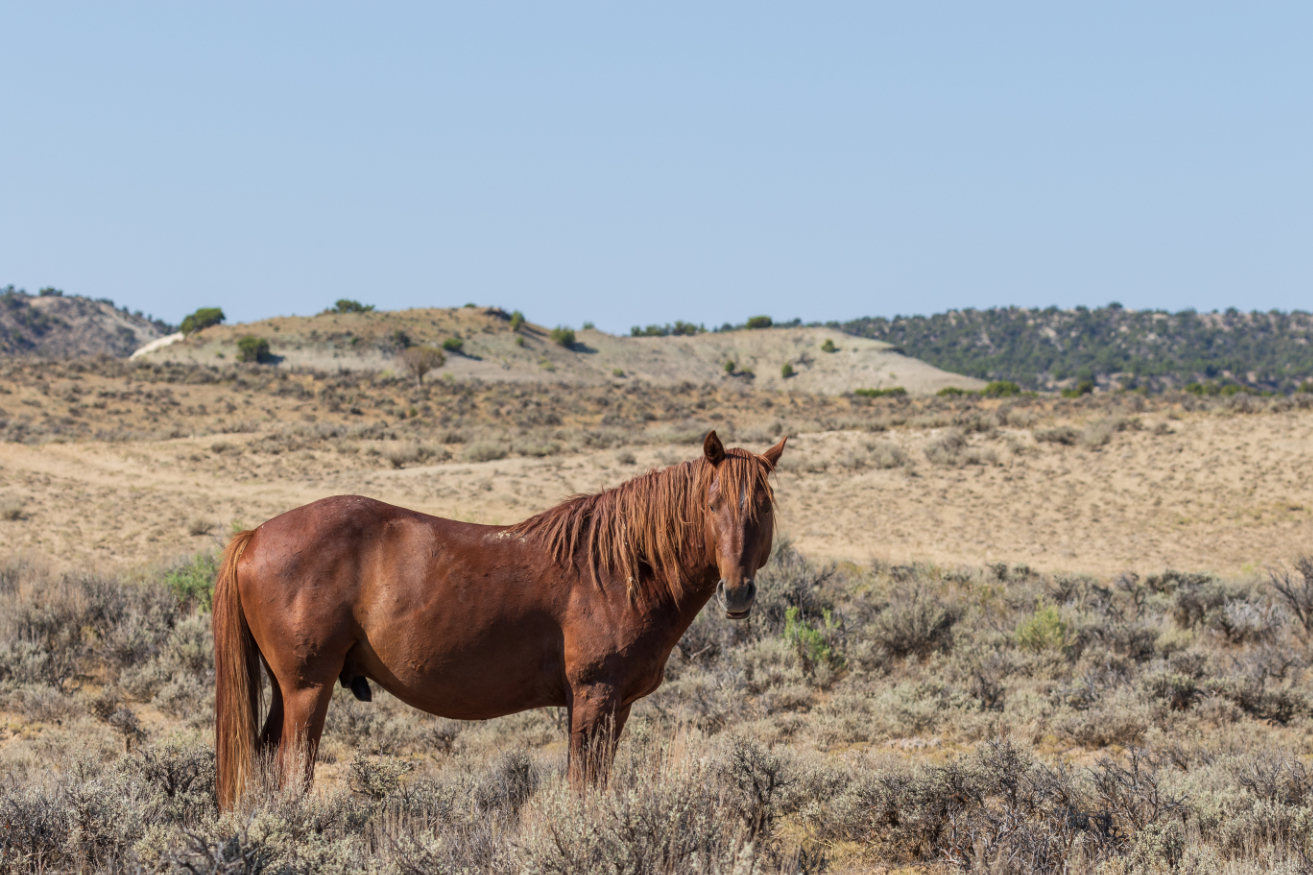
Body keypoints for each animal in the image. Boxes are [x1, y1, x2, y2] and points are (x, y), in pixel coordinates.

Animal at [213, 430, 786, 809]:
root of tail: (255, 536)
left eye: (763, 506)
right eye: (711, 504)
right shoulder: (593, 697)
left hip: (287, 692)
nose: (737, 592)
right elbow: (583, 787)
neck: (618, 567)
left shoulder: (617, 706)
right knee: (291, 771)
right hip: (307, 690)